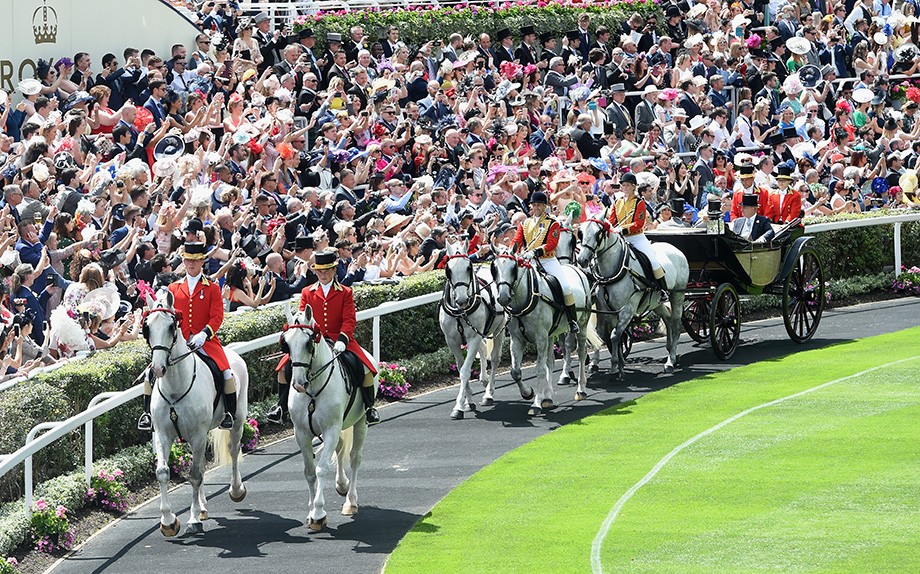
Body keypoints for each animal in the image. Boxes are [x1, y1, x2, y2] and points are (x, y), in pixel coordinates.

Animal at [142, 292, 248, 540]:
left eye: (171, 326)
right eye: (146, 328)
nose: (158, 369)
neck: (174, 388)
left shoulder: (198, 434)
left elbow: (194, 475)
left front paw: (191, 520)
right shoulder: (162, 434)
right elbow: (163, 472)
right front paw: (168, 521)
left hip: (236, 421)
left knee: (233, 451)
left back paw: (235, 490)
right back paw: (202, 508)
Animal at [280, 304, 374, 532]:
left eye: (308, 343)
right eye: (286, 344)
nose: (298, 384)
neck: (313, 389)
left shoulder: (331, 429)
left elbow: (321, 469)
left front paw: (318, 513)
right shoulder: (302, 433)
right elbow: (309, 471)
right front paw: (311, 511)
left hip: (360, 422)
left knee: (354, 457)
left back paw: (351, 501)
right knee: (340, 448)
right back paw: (341, 484)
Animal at [436, 241, 516, 420]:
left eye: (468, 267)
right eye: (448, 269)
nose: (461, 299)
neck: (460, 312)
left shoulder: (473, 337)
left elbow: (465, 370)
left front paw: (458, 406)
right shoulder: (451, 341)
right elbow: (460, 367)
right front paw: (468, 400)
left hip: (498, 328)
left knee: (495, 358)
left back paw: (488, 393)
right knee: (483, 347)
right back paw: (483, 379)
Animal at [492, 250, 592, 416]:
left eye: (513, 268)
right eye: (494, 268)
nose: (504, 297)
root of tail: (577, 269)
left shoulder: (540, 338)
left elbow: (539, 370)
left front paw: (536, 403)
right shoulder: (517, 340)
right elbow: (515, 372)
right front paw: (528, 393)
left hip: (582, 324)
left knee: (581, 353)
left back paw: (580, 390)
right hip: (551, 335)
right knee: (550, 361)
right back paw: (548, 398)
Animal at [580, 215, 688, 378]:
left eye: (598, 233)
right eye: (580, 232)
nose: (582, 260)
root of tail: (676, 249)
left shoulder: (628, 308)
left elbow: (614, 335)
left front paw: (615, 367)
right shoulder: (604, 308)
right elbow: (604, 334)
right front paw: (602, 364)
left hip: (677, 295)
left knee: (675, 324)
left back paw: (670, 362)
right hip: (655, 302)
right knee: (668, 318)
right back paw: (670, 351)